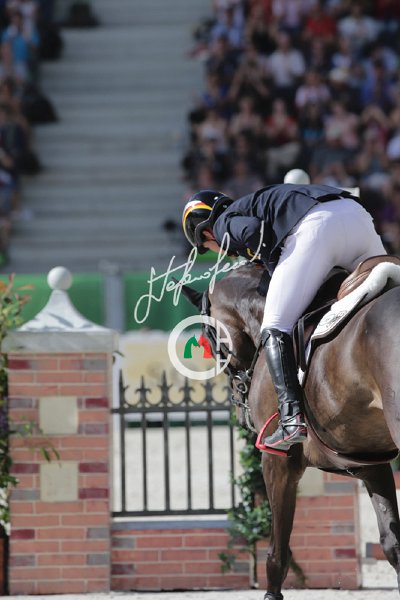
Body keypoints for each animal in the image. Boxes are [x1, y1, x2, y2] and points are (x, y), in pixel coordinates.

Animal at [181, 261, 400, 599]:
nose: (239, 405)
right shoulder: (370, 461)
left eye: (209, 338)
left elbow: (277, 554)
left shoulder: (277, 462)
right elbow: (393, 544)